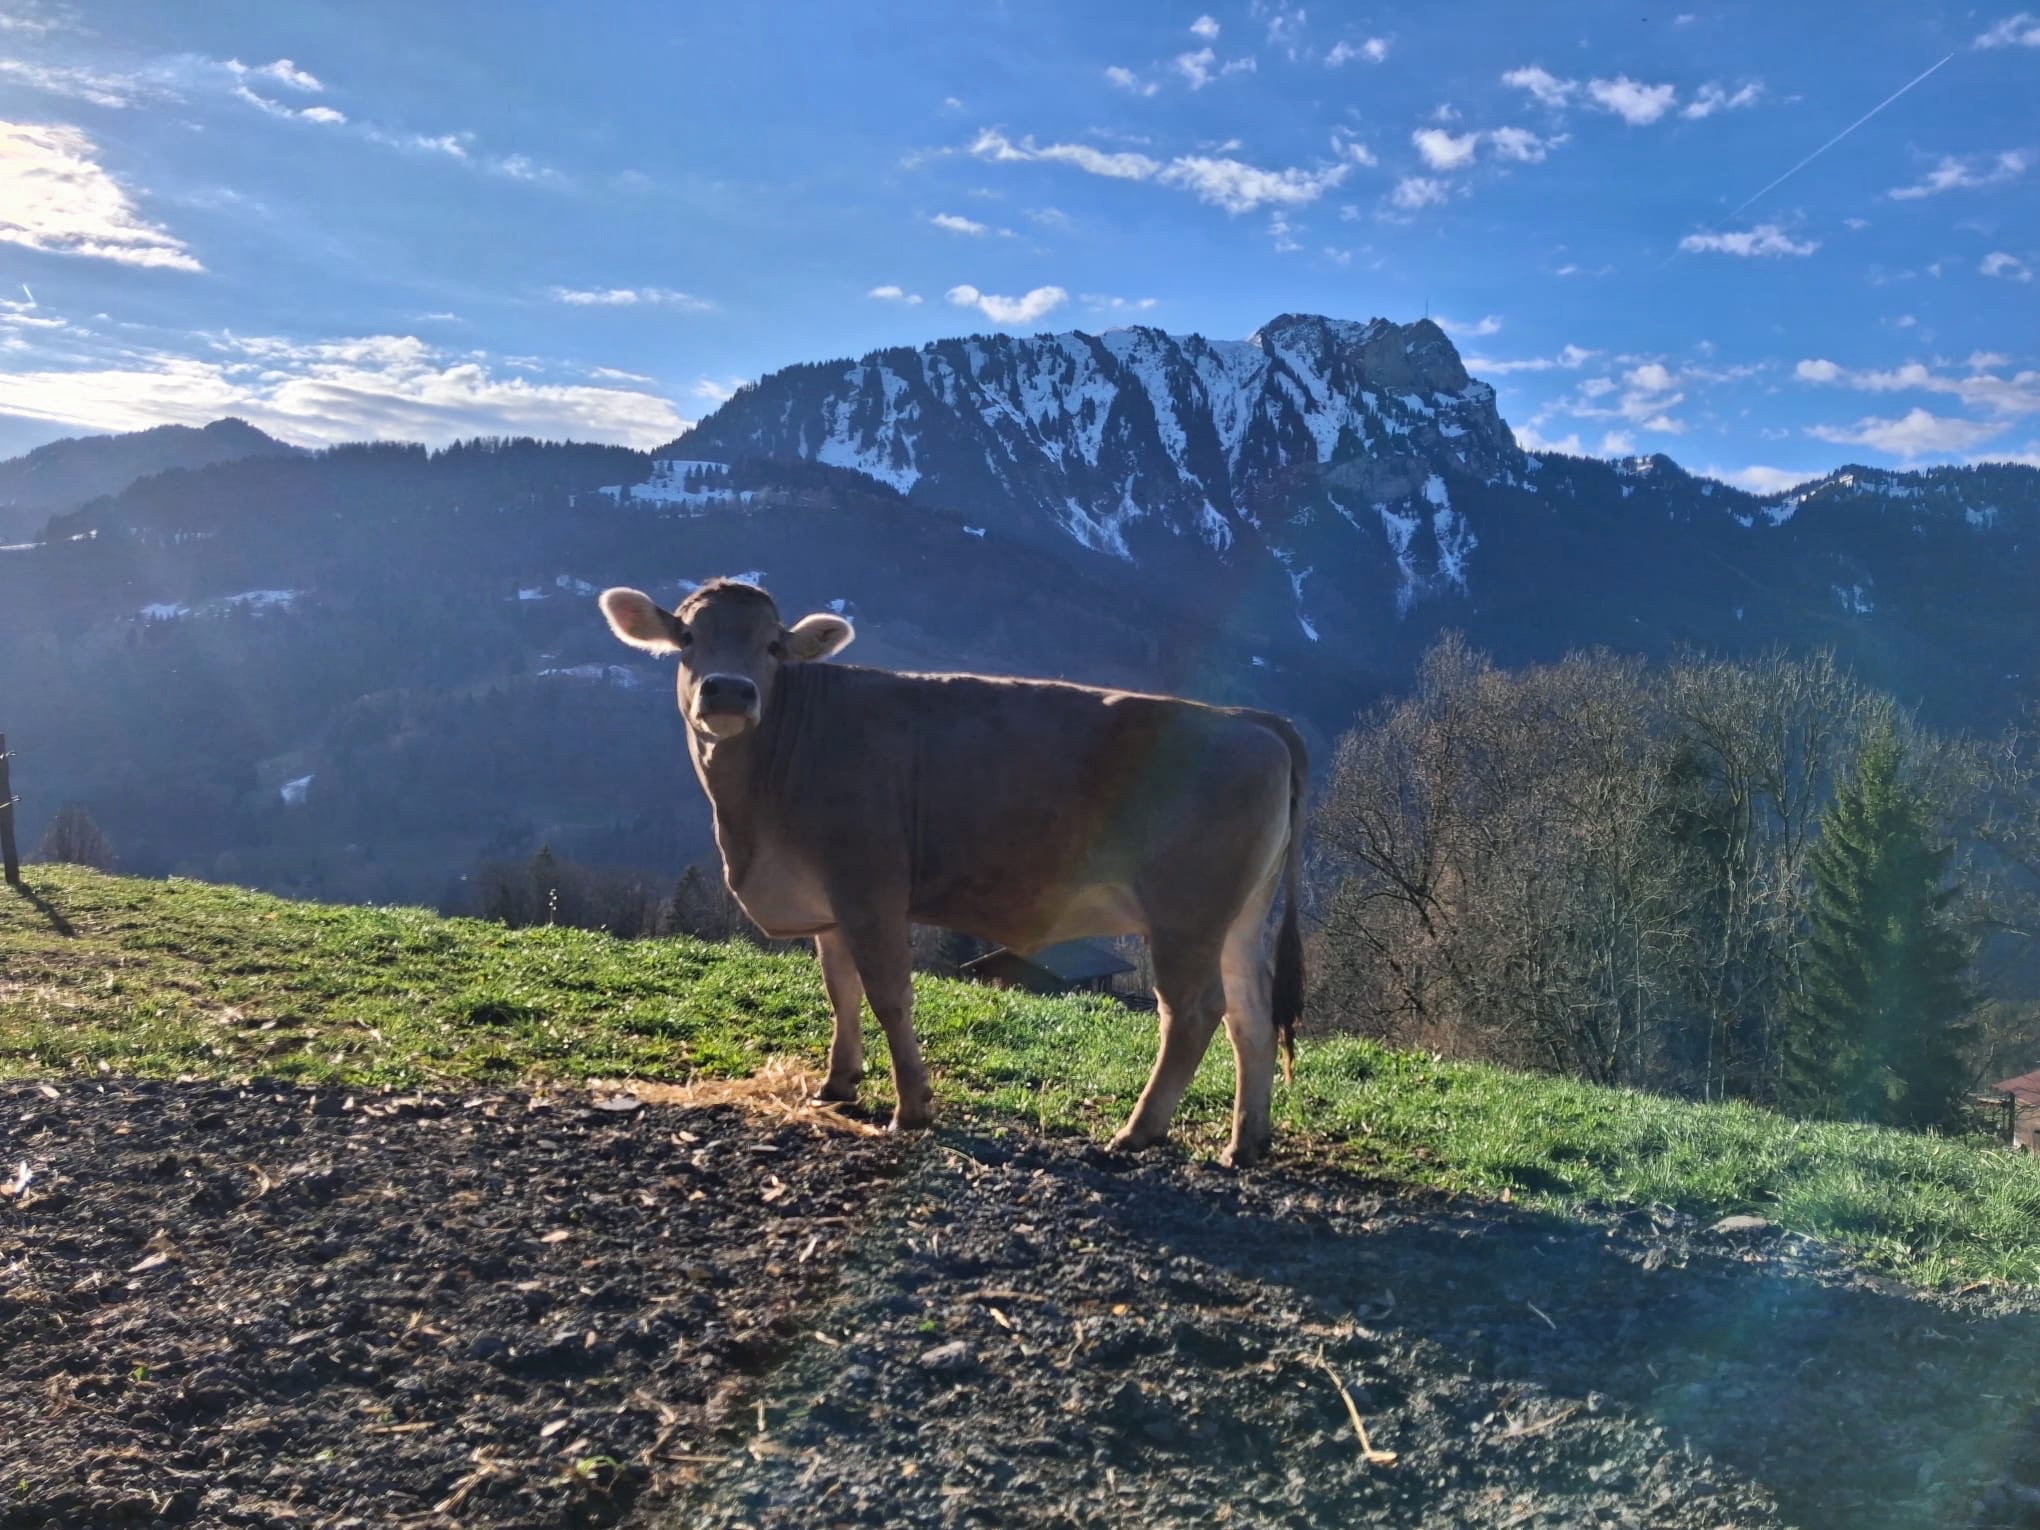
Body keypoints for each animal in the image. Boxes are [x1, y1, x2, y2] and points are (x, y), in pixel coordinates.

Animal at [598, 578, 1306, 1167]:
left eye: (773, 645)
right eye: (688, 638)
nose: (728, 690)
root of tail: (1247, 720)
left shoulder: (870, 887)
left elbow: (888, 994)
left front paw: (911, 1108)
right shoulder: (827, 901)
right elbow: (840, 991)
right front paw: (837, 1084)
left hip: (1185, 911)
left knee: (1193, 1010)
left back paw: (1138, 1131)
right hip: (1239, 917)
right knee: (1249, 1013)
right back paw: (1245, 1142)